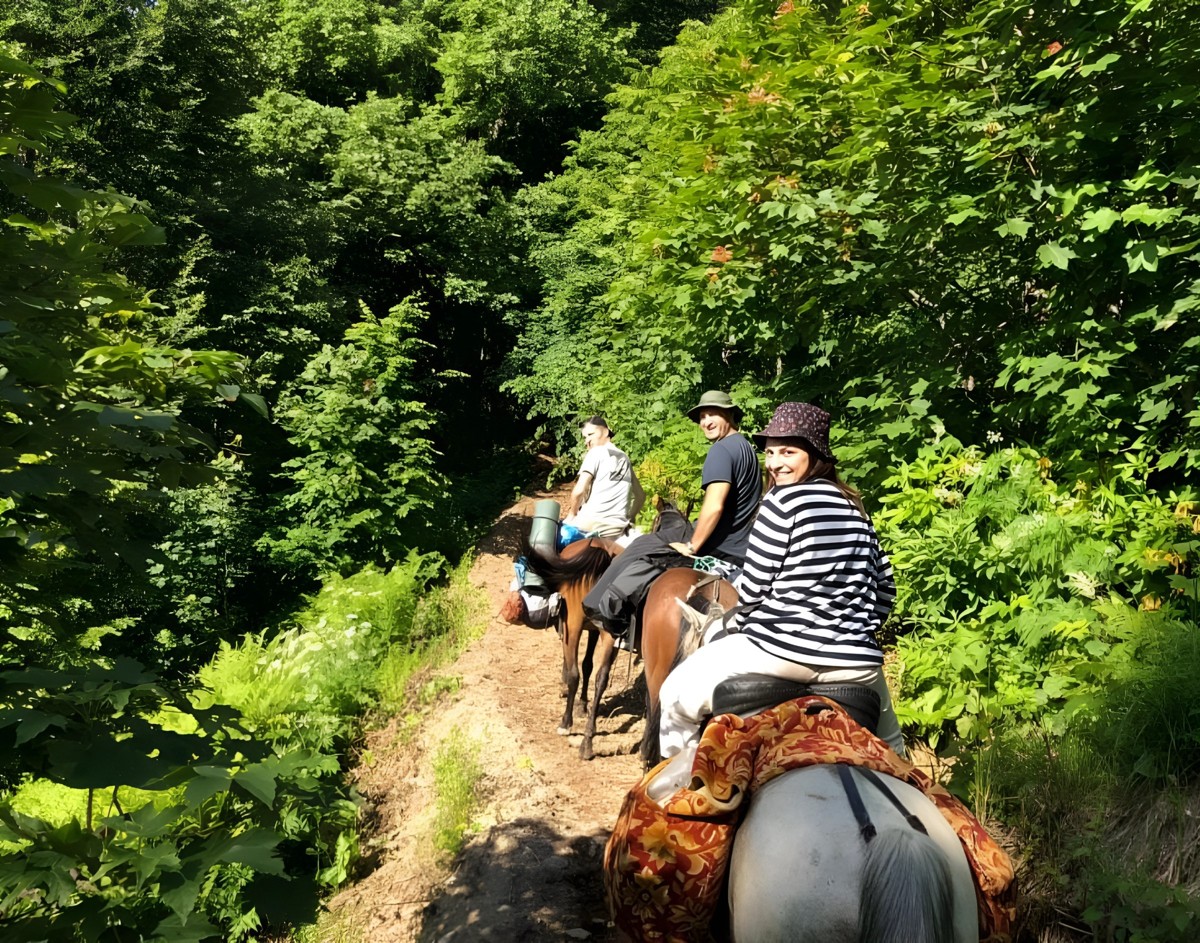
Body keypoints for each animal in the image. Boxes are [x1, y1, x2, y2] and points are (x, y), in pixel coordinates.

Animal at [523, 537, 624, 758]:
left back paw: (566, 723)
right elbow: (588, 666)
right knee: (601, 678)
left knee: (574, 674)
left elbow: (575, 669)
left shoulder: (572, 626)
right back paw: (588, 739)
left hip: (574, 624)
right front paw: (584, 704)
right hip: (609, 634)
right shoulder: (595, 630)